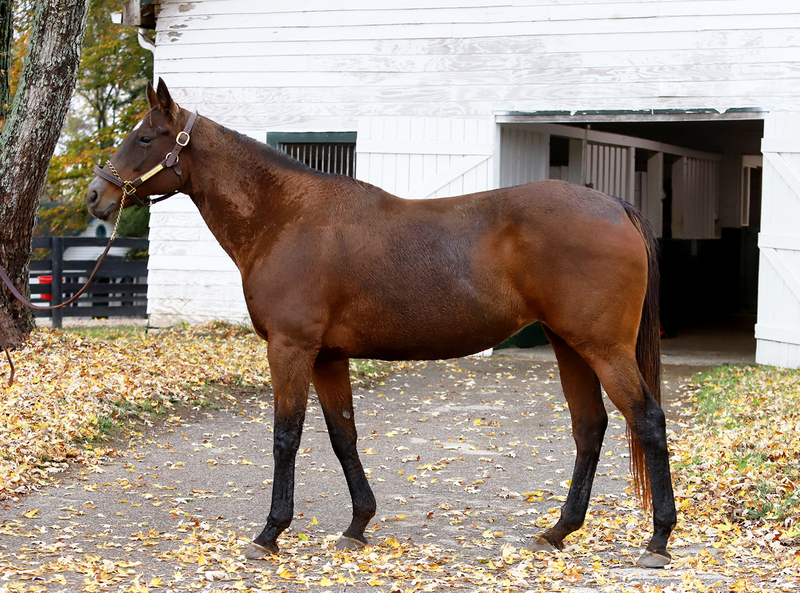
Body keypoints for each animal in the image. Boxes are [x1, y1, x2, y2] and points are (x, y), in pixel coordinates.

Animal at [87, 78, 676, 564]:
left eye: (147, 137)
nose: (97, 196)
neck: (286, 218)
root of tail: (615, 206)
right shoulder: (327, 356)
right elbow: (342, 435)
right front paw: (357, 525)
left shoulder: (290, 348)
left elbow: (286, 436)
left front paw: (270, 533)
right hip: (569, 344)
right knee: (590, 427)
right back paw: (558, 531)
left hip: (602, 347)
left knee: (647, 419)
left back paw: (657, 540)